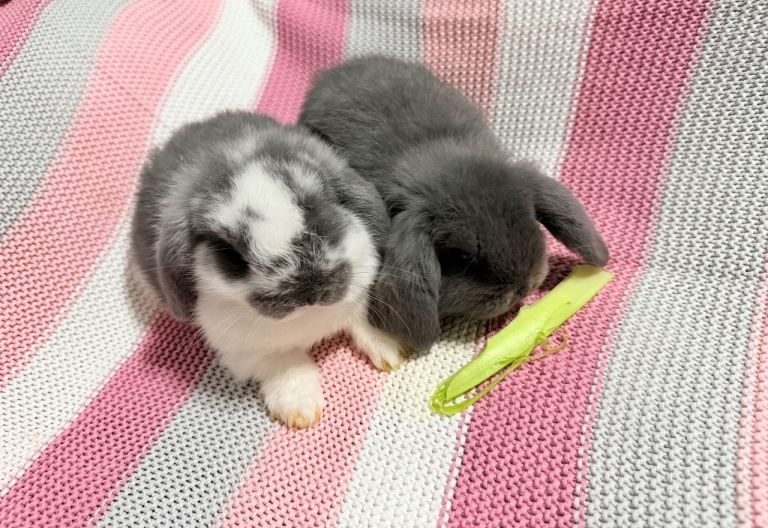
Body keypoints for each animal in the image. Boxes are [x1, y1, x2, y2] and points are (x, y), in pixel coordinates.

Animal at [131, 110, 403, 428]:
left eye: (319, 211)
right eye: (230, 253)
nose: (308, 291)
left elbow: (363, 318)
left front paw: (392, 346)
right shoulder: (243, 348)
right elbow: (284, 364)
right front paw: (300, 409)